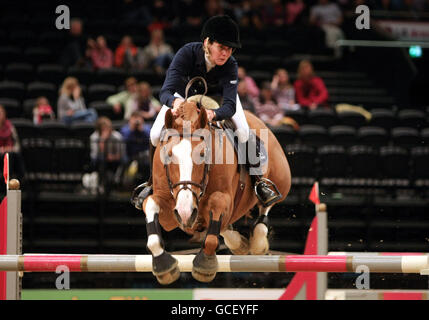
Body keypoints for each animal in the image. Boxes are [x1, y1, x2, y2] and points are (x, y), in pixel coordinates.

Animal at [140, 99, 290, 282]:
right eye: (168, 155)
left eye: (203, 154)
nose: (186, 212)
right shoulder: (170, 215)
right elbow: (150, 204)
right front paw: (163, 266)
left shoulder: (224, 199)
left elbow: (216, 206)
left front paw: (205, 265)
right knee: (226, 228)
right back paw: (240, 244)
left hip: (282, 181)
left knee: (265, 209)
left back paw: (258, 243)